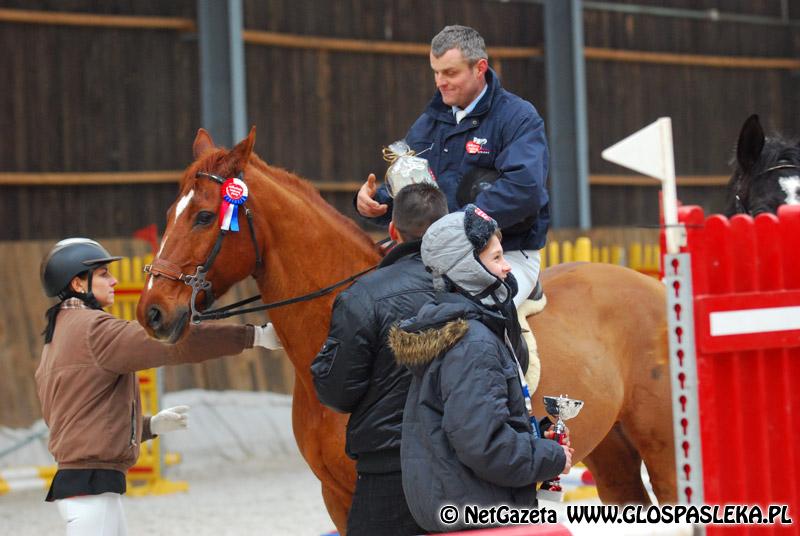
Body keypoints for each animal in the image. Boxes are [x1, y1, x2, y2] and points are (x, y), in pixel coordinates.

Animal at [138, 129, 676, 532]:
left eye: (205, 216)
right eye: (167, 215)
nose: (152, 313)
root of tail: (653, 288)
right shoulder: (338, 496)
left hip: (665, 450)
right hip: (609, 453)